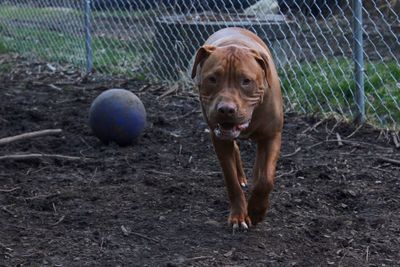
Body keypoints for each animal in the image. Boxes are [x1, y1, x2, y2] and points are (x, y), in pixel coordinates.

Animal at [191, 28, 282, 231]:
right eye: (212, 79)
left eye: (246, 81)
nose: (226, 109)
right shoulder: (219, 139)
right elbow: (231, 180)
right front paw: (240, 215)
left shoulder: (272, 136)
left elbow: (265, 180)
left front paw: (256, 210)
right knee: (236, 150)